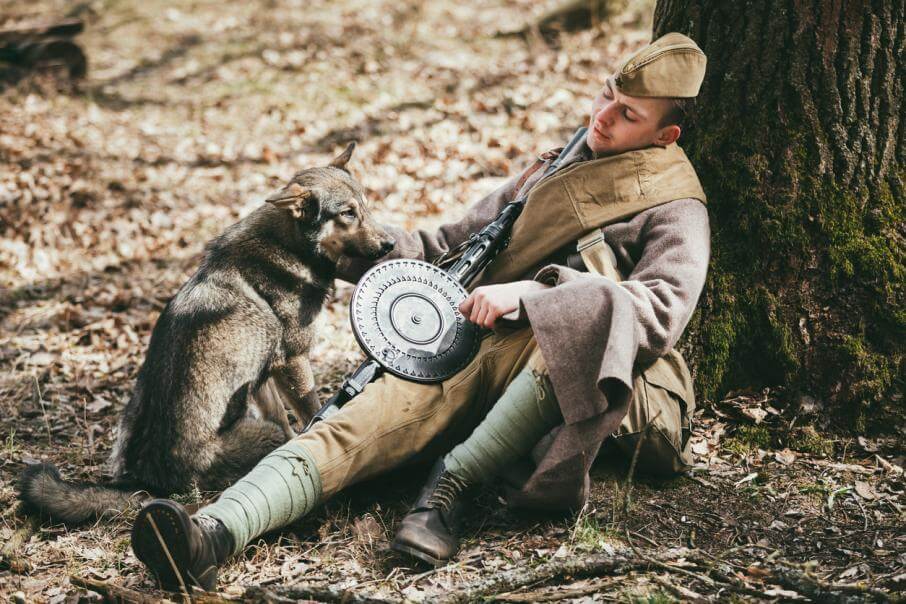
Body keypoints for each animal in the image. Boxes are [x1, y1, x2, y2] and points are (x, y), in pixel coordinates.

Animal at [17, 143, 392, 524]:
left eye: (365, 206)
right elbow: (307, 413)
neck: (289, 246)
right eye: (347, 213)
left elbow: (283, 416)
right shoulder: (293, 361)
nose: (390, 244)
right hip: (260, 434)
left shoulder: (262, 376)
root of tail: (148, 483)